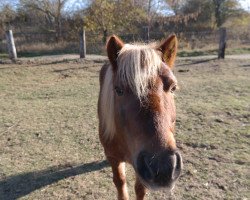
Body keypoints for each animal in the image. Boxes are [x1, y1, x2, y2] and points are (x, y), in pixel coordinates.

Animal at [97, 34, 182, 200]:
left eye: (173, 87)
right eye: (119, 90)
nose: (163, 167)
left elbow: (140, 189)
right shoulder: (113, 157)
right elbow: (120, 182)